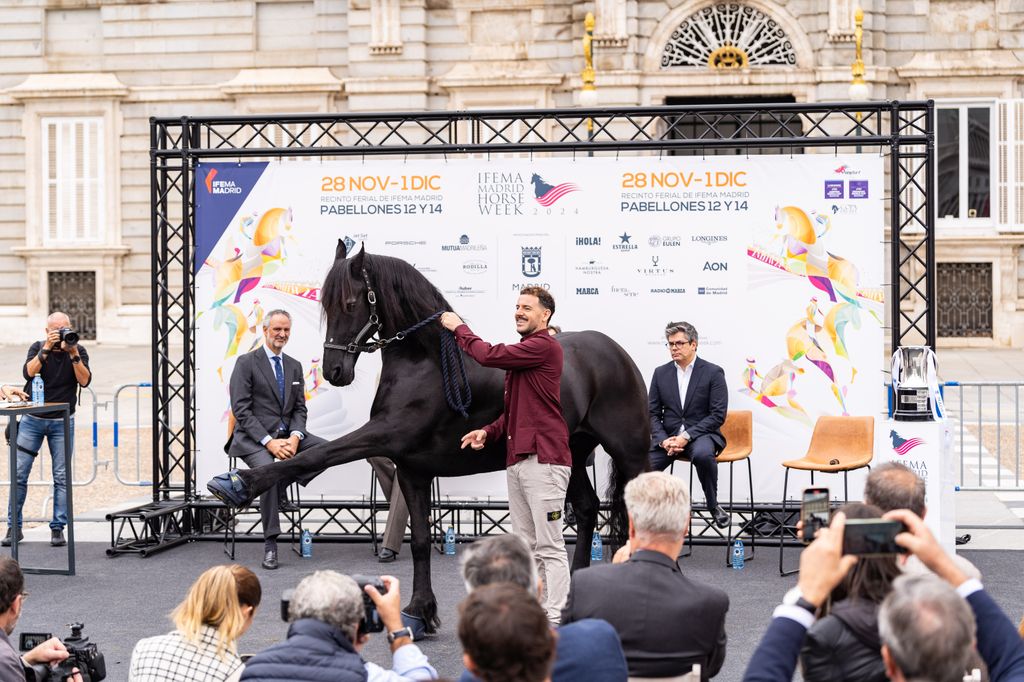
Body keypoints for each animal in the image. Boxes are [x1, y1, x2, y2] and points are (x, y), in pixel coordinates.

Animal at [209, 241, 647, 630]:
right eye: (326, 306)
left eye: (349, 304)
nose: (335, 370)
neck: (427, 362)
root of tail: (615, 353)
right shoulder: (412, 469)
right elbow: (419, 541)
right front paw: (420, 611)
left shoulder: (385, 436)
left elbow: (317, 454)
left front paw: (237, 484)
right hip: (569, 455)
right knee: (587, 509)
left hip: (629, 453)